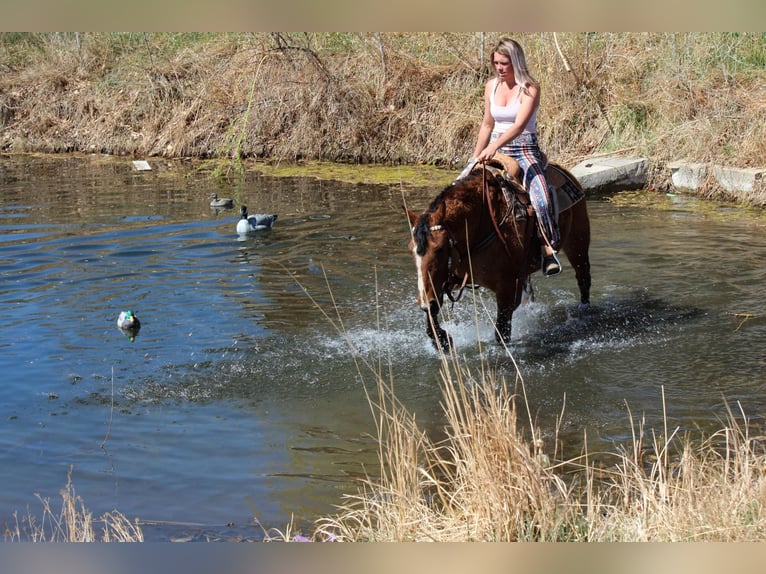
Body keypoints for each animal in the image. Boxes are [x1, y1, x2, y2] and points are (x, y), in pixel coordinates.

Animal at [405, 154, 591, 350]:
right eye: (411, 250)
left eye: (440, 249)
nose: (425, 302)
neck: (480, 226)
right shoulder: (448, 281)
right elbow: (431, 319)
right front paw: (443, 340)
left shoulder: (506, 289)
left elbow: (501, 333)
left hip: (577, 244)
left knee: (583, 279)